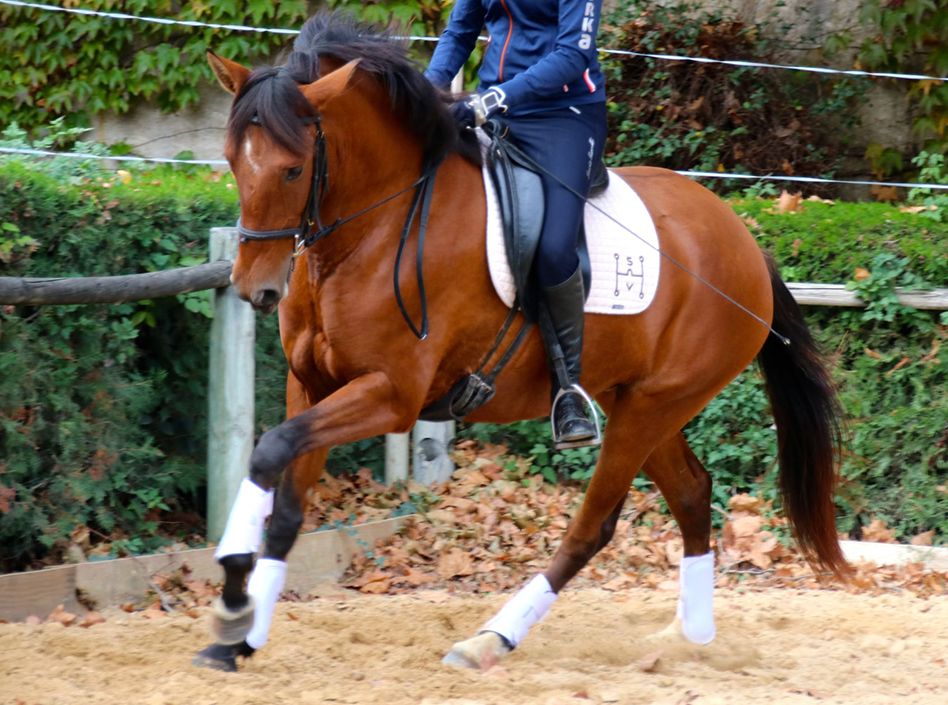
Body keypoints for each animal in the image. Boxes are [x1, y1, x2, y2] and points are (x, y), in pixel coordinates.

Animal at [196, 12, 848, 672]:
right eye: (230, 161)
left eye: (293, 168)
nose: (254, 288)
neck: (372, 230)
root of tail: (744, 240)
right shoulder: (311, 384)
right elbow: (286, 504)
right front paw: (240, 635)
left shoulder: (391, 394)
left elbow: (270, 450)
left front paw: (233, 592)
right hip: (637, 400)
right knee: (691, 493)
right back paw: (691, 637)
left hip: (653, 406)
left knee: (592, 526)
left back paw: (491, 638)